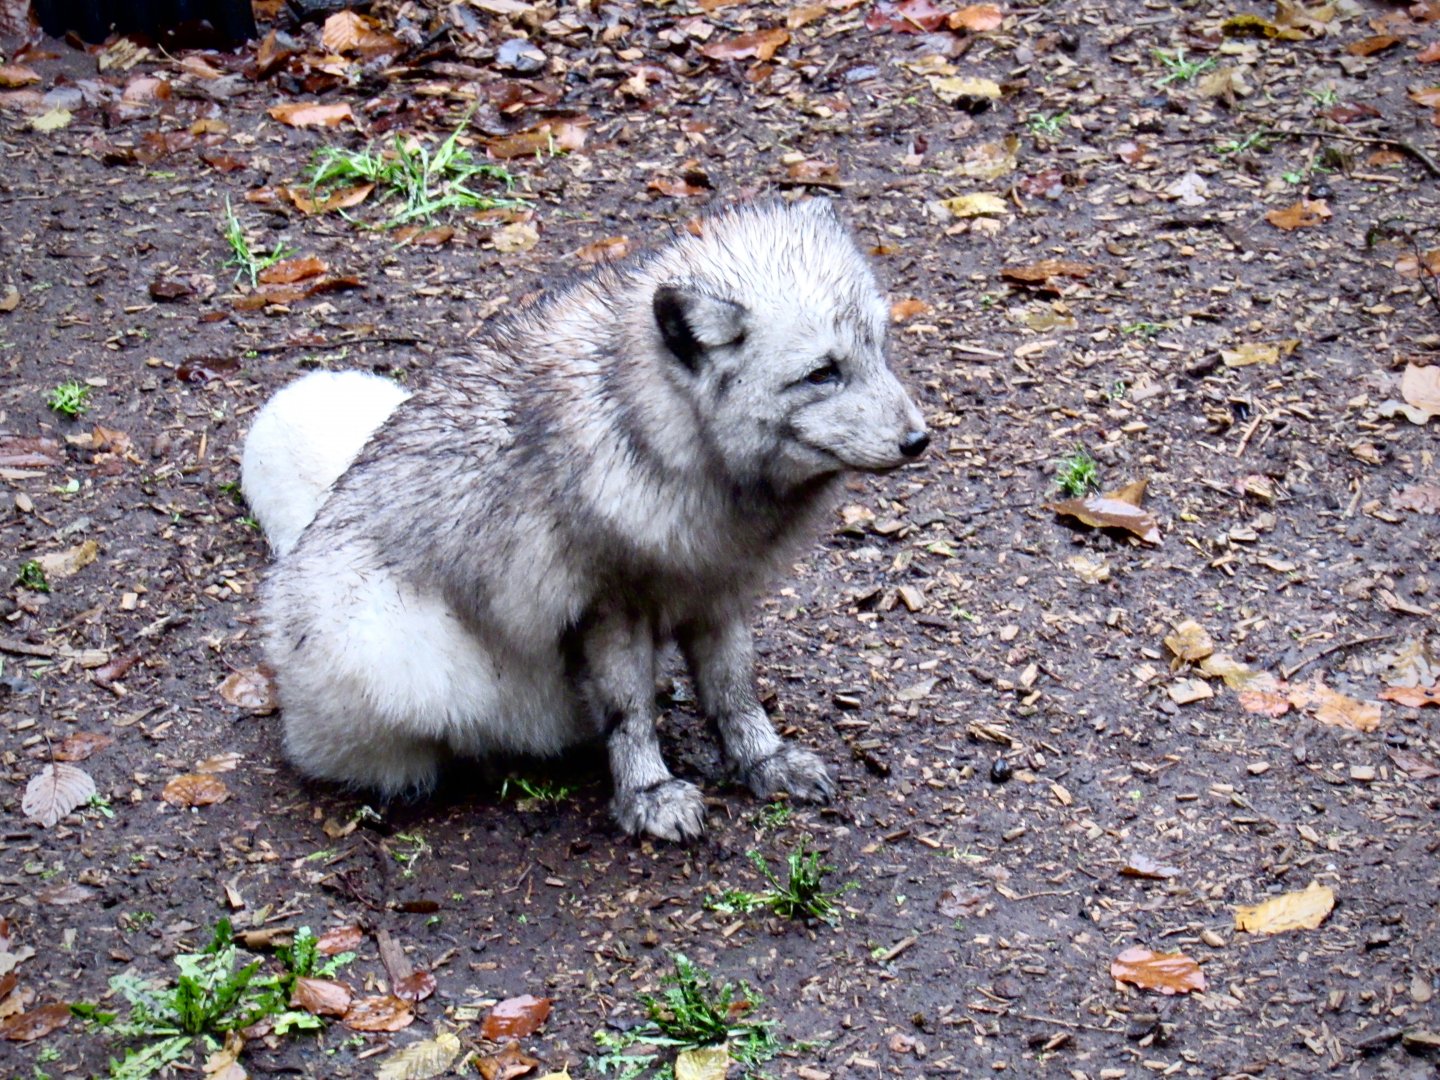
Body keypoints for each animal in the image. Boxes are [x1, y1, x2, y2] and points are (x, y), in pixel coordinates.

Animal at [241, 198, 928, 842]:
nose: (919, 440)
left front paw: (764, 761)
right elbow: (631, 712)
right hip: (394, 643)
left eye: (878, 350)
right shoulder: (610, 606)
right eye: (821, 374)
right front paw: (648, 793)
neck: (665, 444)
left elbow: (734, 689)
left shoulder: (717, 587)